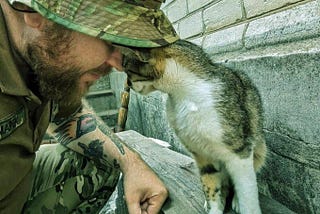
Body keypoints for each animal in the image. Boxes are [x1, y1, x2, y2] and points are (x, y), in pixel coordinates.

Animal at [119, 40, 266, 214]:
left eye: (128, 71)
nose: (128, 84)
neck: (183, 94)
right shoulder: (201, 153)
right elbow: (210, 183)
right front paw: (213, 207)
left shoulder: (238, 151)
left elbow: (247, 192)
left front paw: (244, 205)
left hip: (259, 148)